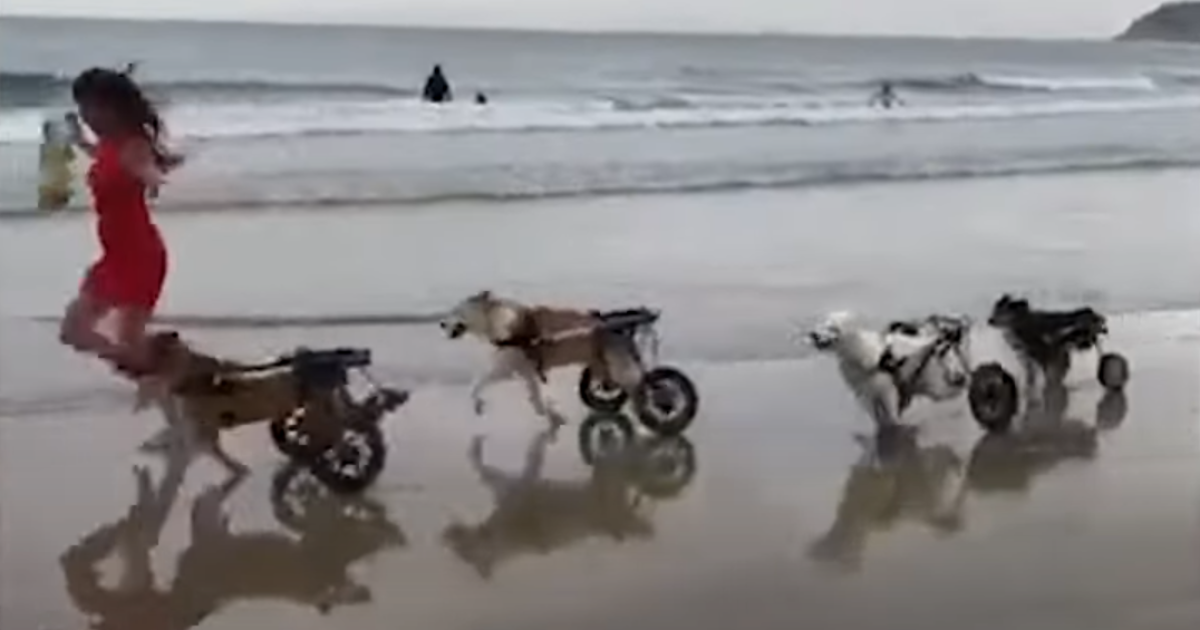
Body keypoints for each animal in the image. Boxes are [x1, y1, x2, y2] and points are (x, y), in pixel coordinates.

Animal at [806, 309, 974, 427]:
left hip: (941, 379)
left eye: (833, 328)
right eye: (823, 323)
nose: (813, 334)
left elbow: (893, 418)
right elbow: (879, 417)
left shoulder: (888, 393)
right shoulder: (868, 396)